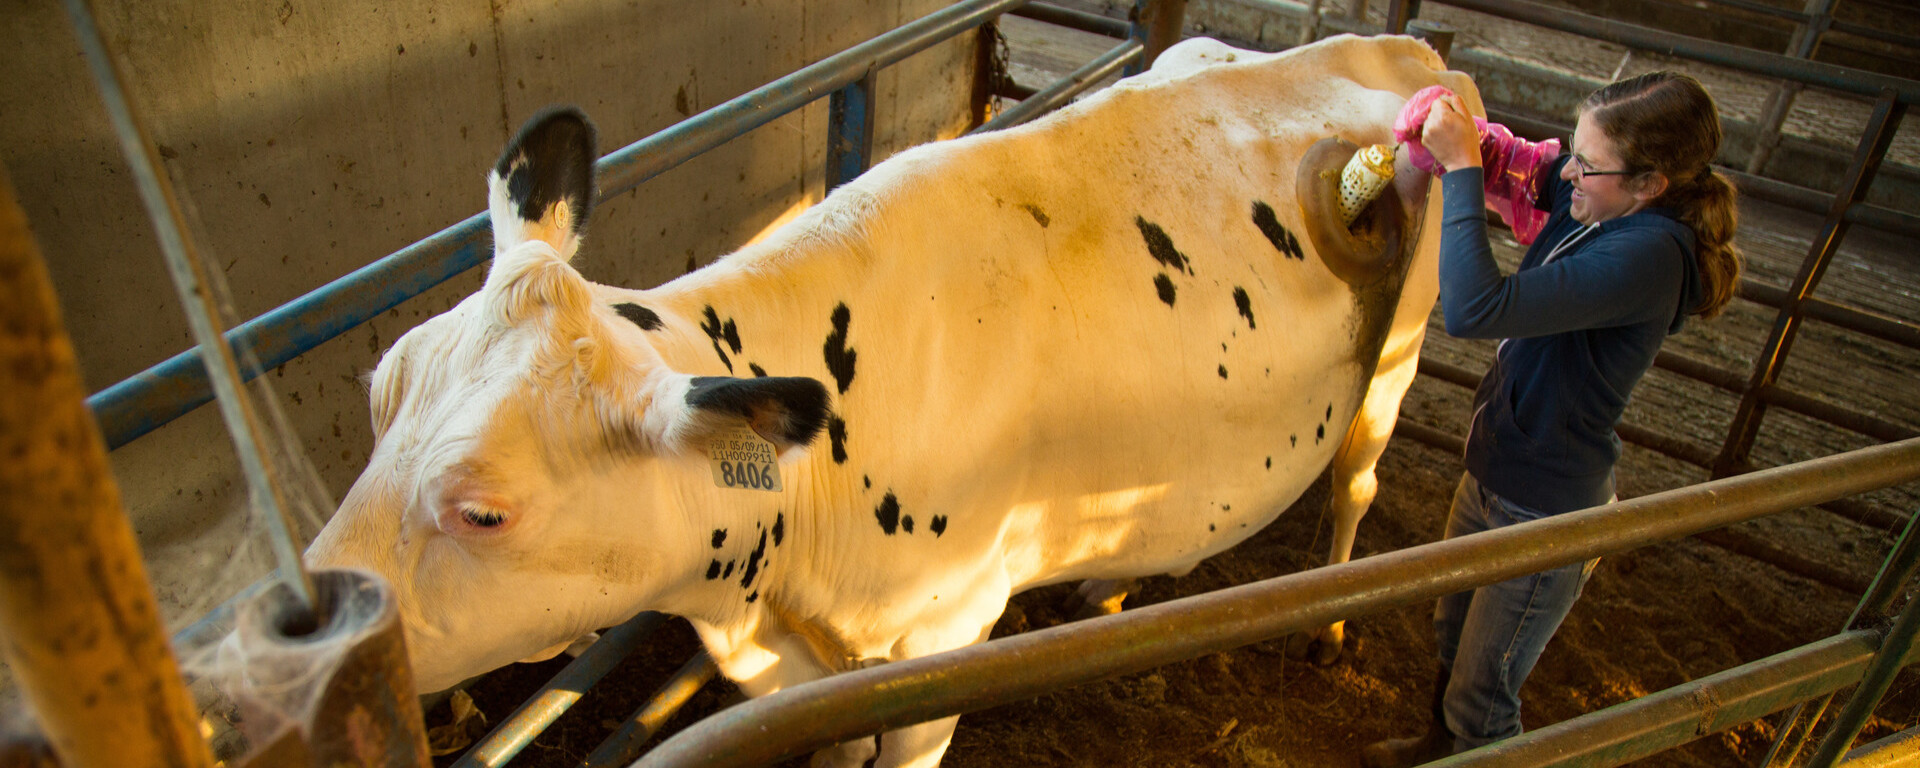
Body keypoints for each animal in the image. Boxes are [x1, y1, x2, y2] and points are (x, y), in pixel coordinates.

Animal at [304, 34, 1478, 767]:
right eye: (377, 395)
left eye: (483, 511)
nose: (294, 649)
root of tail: (1408, 54)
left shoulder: (942, 643)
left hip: (1396, 360)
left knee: (1356, 485)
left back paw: (1330, 619)